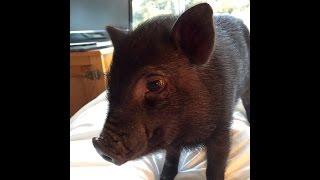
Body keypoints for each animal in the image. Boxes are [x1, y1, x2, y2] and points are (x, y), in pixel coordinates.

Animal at [92, 2, 250, 180]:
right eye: (110, 81)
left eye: (154, 84)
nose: (99, 145)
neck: (187, 135)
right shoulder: (171, 141)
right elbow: (170, 158)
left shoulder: (222, 128)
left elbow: (215, 165)